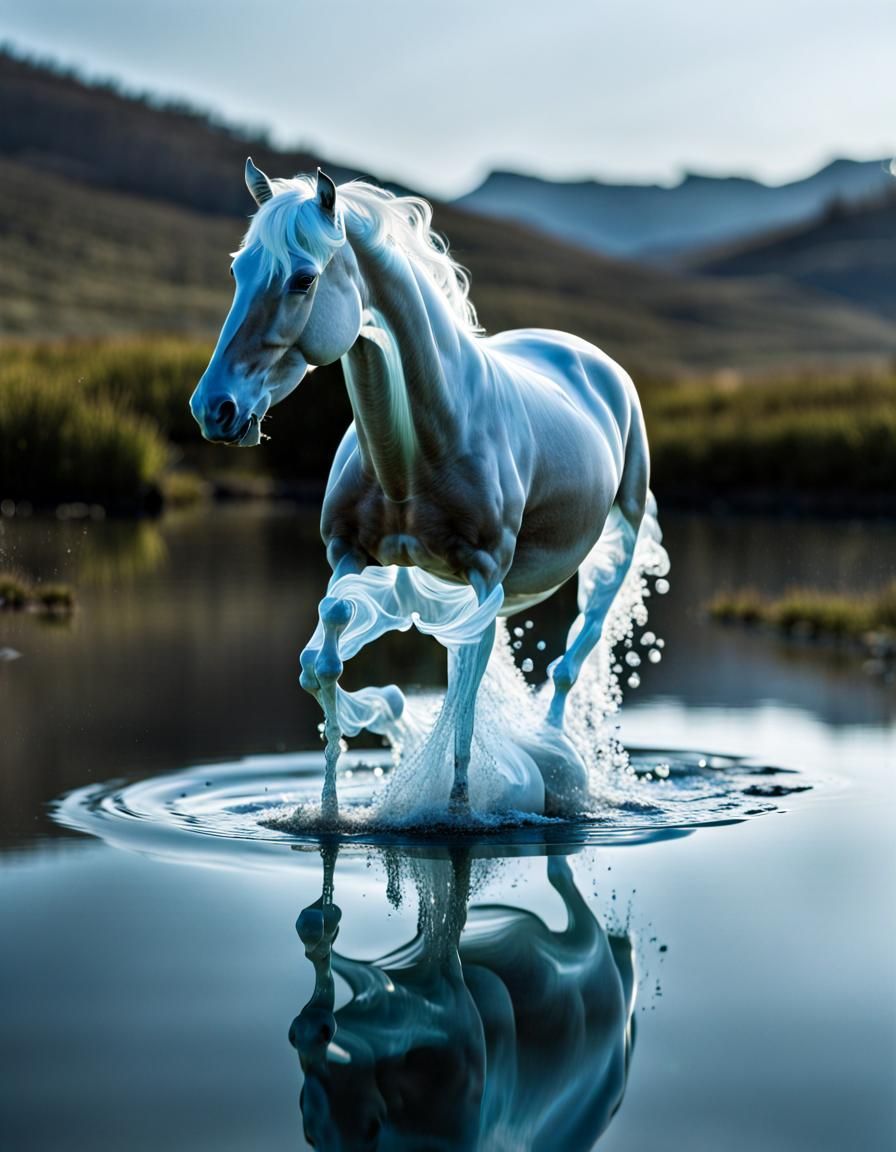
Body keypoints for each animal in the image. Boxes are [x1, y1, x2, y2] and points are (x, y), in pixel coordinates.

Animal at [190, 160, 663, 820]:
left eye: (303, 279)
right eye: (239, 270)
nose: (215, 408)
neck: (412, 458)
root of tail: (588, 356)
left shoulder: (486, 573)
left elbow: (463, 712)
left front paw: (459, 812)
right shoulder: (348, 555)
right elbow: (323, 654)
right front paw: (331, 806)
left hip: (616, 541)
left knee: (572, 659)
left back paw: (556, 762)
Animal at [290, 852, 631, 1147]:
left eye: (372, 1126)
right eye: (308, 1134)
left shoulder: (454, 1004)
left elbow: (454, 911)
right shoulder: (382, 988)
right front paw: (321, 924)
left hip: (591, 947)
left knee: (564, 880)